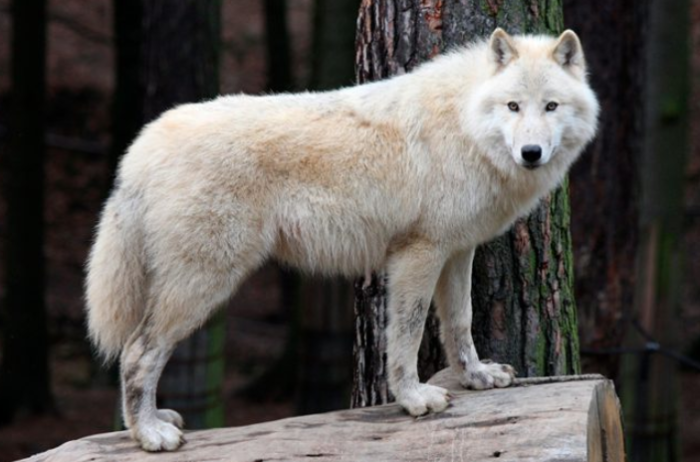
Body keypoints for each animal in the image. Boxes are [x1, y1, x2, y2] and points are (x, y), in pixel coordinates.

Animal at [86, 28, 600, 452]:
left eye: (550, 106)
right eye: (513, 107)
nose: (531, 153)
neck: (464, 123)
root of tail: (141, 147)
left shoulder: (456, 251)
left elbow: (460, 323)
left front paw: (476, 377)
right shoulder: (418, 254)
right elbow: (408, 334)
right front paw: (414, 399)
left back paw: (154, 421)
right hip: (204, 284)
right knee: (137, 353)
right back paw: (149, 434)